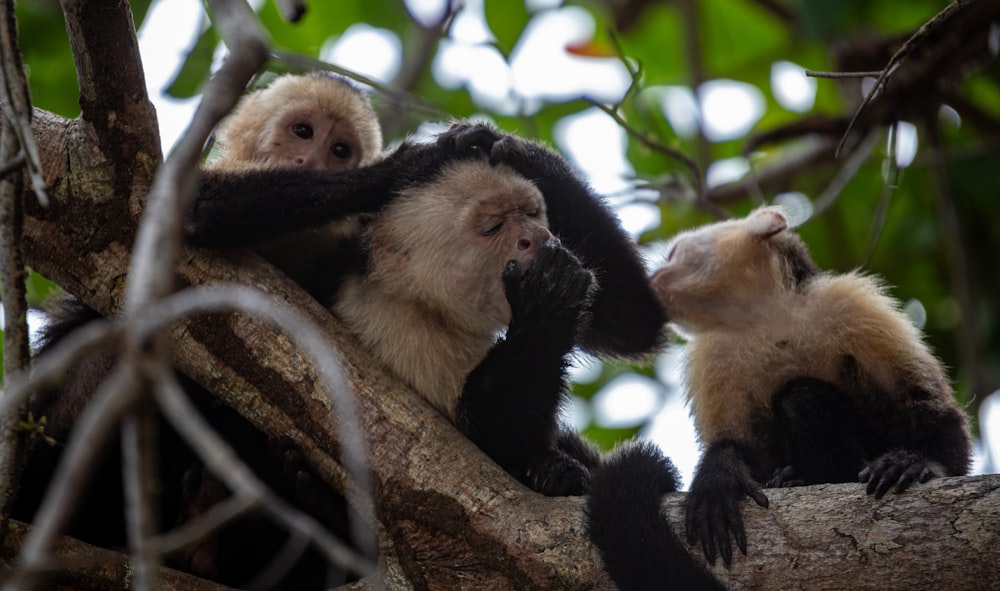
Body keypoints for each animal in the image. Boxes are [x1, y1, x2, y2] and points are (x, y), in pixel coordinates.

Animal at [588, 208, 972, 588]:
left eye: (674, 253)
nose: (652, 277)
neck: (765, 317)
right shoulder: (712, 354)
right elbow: (736, 445)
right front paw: (719, 474)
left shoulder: (851, 304)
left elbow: (923, 403)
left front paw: (918, 461)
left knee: (801, 396)